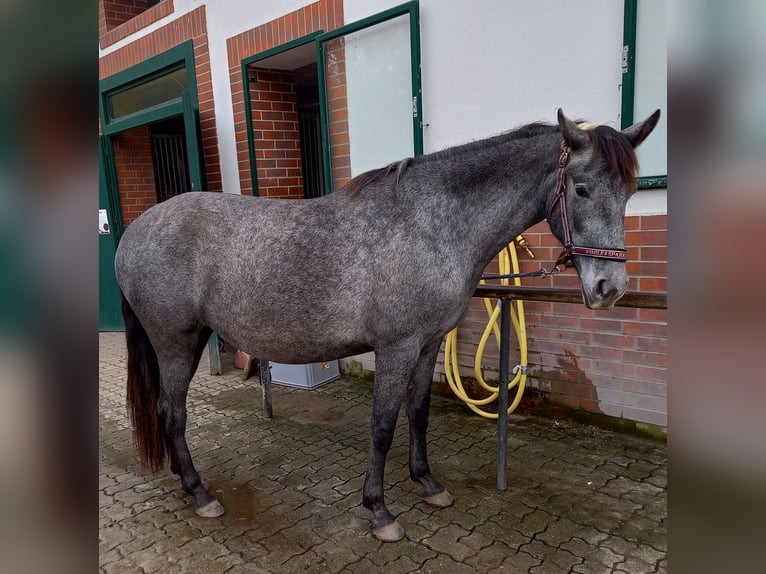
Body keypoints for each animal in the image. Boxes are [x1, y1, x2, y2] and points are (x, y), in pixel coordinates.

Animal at [117, 109, 664, 544]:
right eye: (581, 188)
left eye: (631, 191)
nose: (609, 288)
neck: (429, 225)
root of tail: (134, 232)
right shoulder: (396, 347)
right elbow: (382, 426)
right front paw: (379, 511)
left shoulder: (427, 344)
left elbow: (418, 414)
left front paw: (428, 484)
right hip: (175, 343)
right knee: (172, 413)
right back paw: (200, 493)